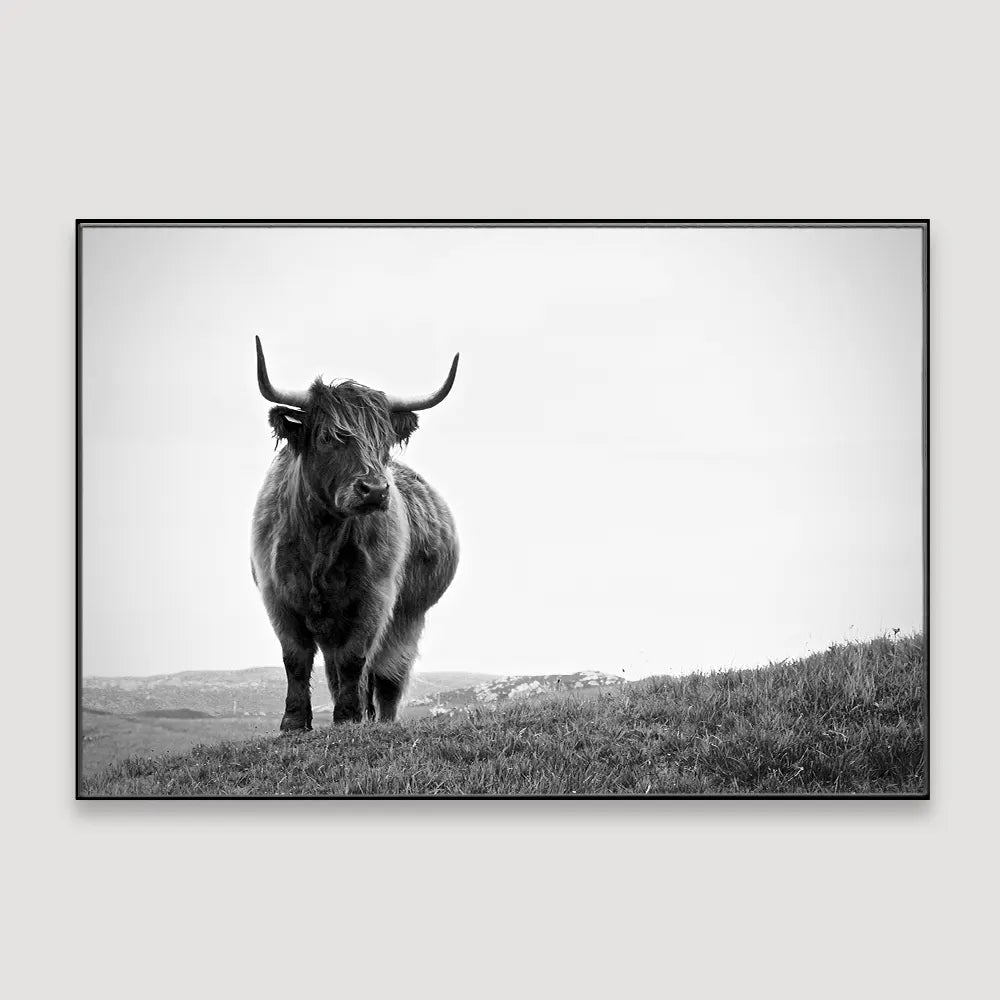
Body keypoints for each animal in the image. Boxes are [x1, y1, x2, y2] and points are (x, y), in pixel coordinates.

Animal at [250, 337, 460, 730]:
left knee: (387, 676)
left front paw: (348, 718)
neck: (321, 539)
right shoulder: (277, 597)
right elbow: (295, 659)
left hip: (408, 618)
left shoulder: (374, 599)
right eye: (328, 438)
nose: (374, 490)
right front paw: (294, 722)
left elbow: (355, 659)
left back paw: (379, 719)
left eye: (383, 441)